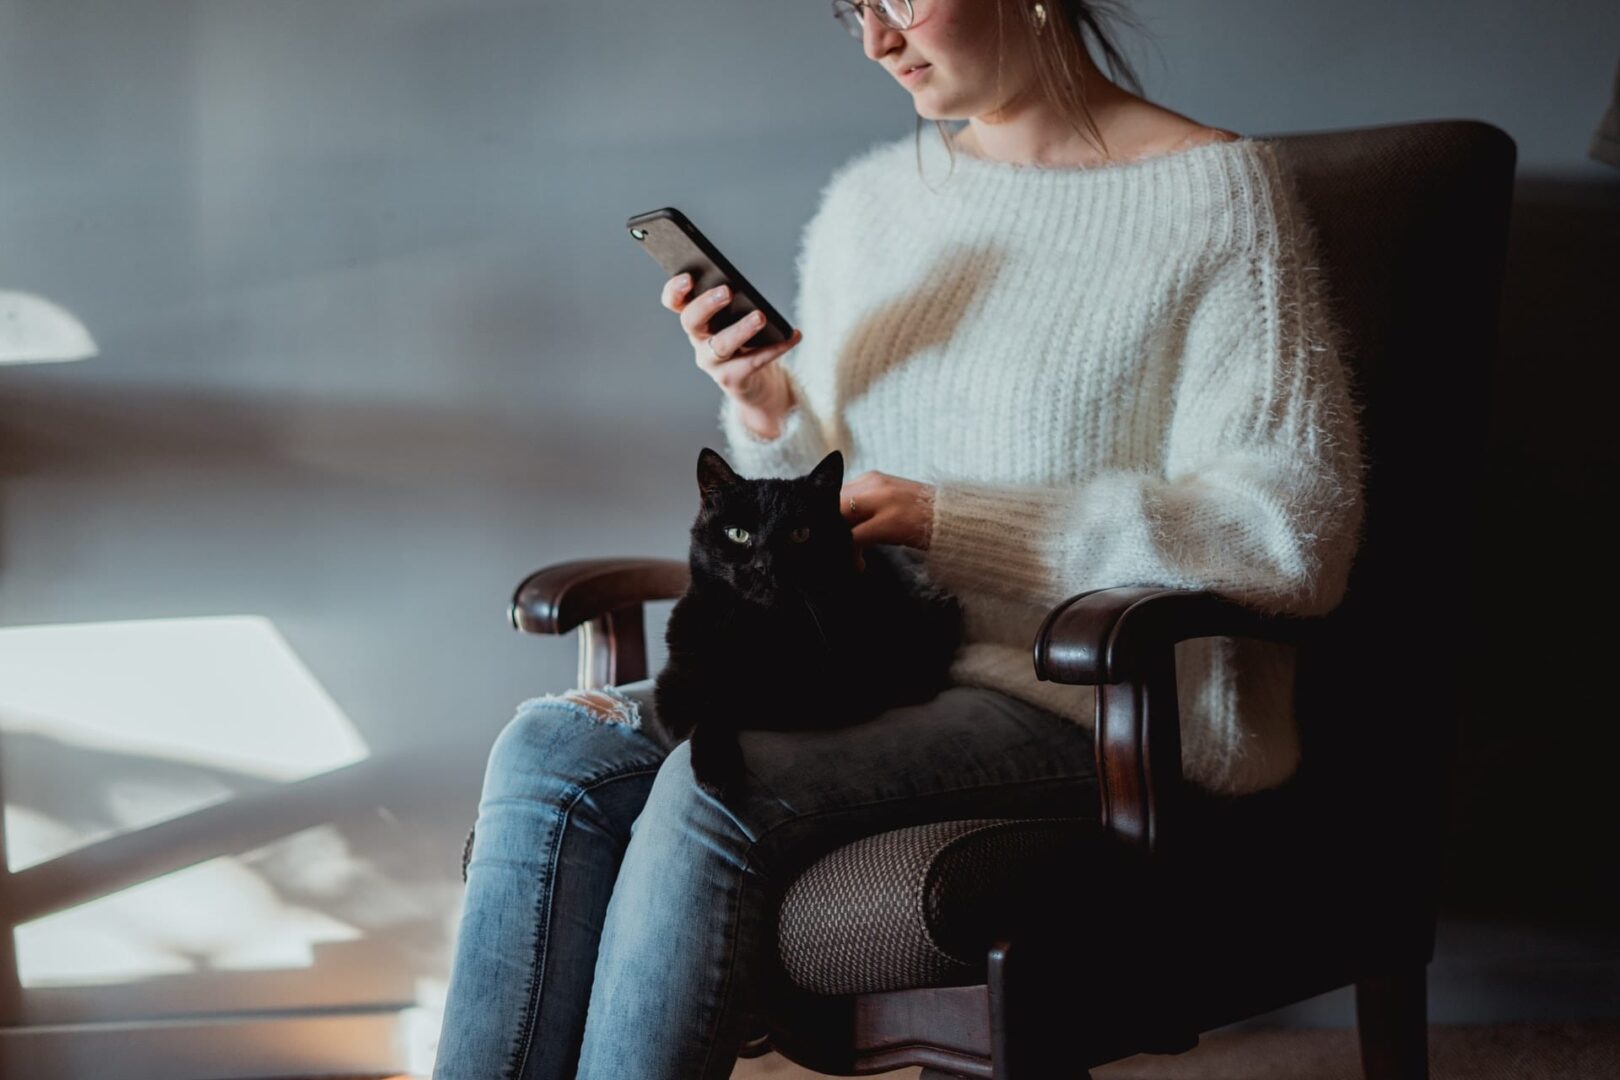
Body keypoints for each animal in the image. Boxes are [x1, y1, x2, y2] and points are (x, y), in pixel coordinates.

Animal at [654, 443, 959, 799]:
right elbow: (708, 708)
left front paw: (718, 768)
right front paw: (718, 768)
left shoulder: (832, 697)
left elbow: (734, 705)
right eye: (737, 534)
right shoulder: (671, 693)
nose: (766, 565)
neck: (760, 629)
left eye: (800, 534)